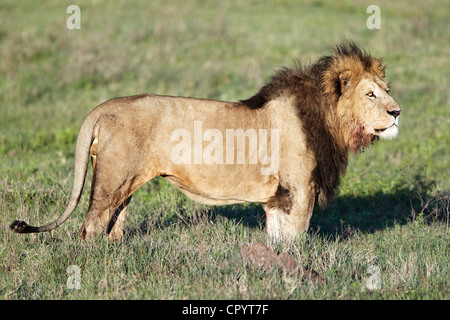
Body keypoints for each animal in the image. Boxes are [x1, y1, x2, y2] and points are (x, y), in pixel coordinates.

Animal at [9, 43, 400, 242]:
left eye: (386, 90)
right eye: (370, 95)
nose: (397, 112)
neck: (331, 120)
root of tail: (103, 108)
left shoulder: (279, 197)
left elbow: (278, 236)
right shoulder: (299, 189)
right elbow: (296, 237)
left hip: (123, 184)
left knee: (113, 224)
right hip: (111, 180)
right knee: (90, 226)